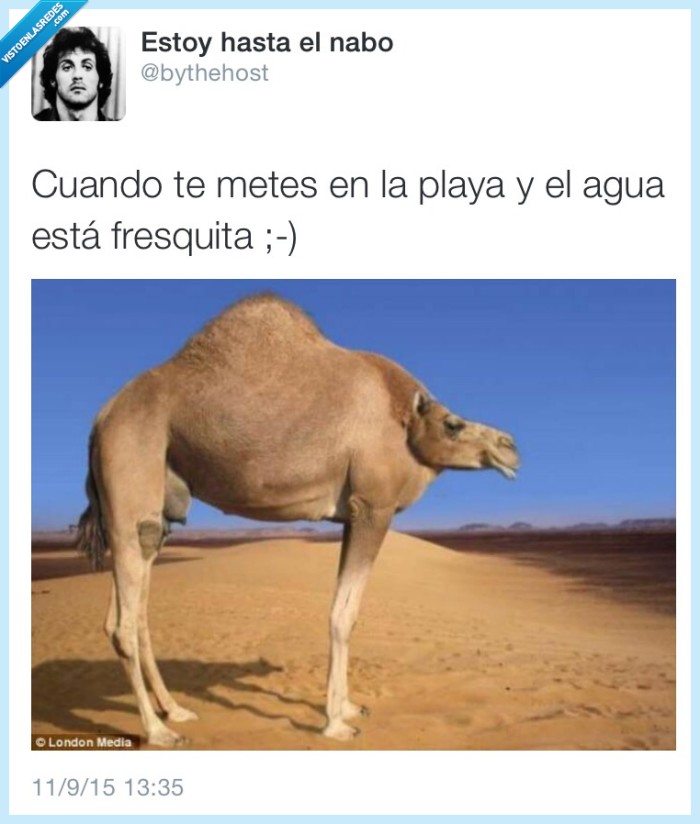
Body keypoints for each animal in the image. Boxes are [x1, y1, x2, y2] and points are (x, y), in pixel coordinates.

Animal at [76, 293, 519, 746]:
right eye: (453, 424)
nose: (510, 447)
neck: (398, 417)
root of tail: (101, 419)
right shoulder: (372, 506)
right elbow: (343, 615)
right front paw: (336, 723)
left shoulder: (351, 514)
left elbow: (346, 609)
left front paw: (349, 706)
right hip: (132, 465)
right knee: (124, 622)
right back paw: (158, 731)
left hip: (157, 506)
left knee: (135, 606)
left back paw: (177, 710)